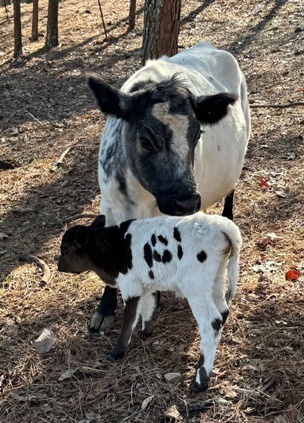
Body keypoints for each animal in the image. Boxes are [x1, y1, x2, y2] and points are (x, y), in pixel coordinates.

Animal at [57, 214, 242, 392]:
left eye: (65, 250)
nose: (58, 265)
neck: (112, 248)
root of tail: (222, 225)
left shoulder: (130, 285)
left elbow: (129, 319)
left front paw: (117, 352)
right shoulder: (145, 283)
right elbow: (147, 306)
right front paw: (146, 332)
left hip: (195, 287)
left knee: (212, 322)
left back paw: (200, 381)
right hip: (216, 278)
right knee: (223, 312)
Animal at [86, 41, 251, 332]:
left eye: (197, 135)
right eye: (146, 140)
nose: (186, 201)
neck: (141, 198)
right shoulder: (110, 205)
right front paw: (104, 309)